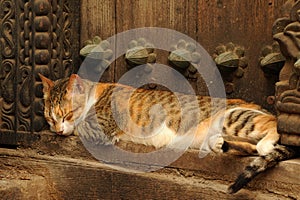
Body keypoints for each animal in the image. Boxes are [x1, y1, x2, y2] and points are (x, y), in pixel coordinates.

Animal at [38, 73, 296, 194]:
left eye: (67, 114)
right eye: (51, 117)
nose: (58, 129)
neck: (96, 93)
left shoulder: (99, 125)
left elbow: (82, 127)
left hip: (234, 117)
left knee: (270, 130)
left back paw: (266, 142)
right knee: (247, 146)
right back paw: (219, 144)